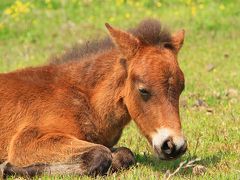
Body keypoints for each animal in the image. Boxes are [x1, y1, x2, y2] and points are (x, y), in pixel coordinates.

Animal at [0, 19, 187, 176]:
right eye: (143, 90)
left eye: (181, 88)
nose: (174, 146)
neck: (85, 101)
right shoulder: (26, 141)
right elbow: (100, 154)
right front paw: (6, 167)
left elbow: (125, 154)